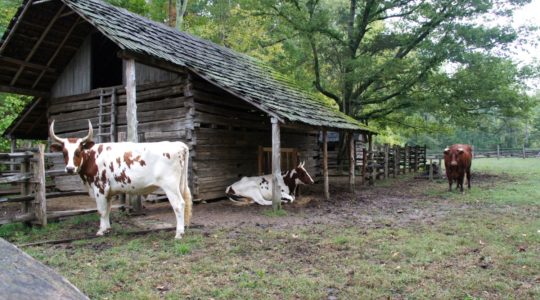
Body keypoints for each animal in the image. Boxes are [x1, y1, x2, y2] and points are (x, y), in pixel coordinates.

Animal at [49, 119, 192, 239]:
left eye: (78, 151)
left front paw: (101, 231)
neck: (92, 157)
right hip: (180, 184)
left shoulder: (100, 188)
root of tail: (179, 145)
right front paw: (107, 228)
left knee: (179, 204)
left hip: (170, 186)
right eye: (64, 152)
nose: (69, 168)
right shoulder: (108, 191)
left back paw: (179, 233)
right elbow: (108, 209)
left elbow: (101, 210)